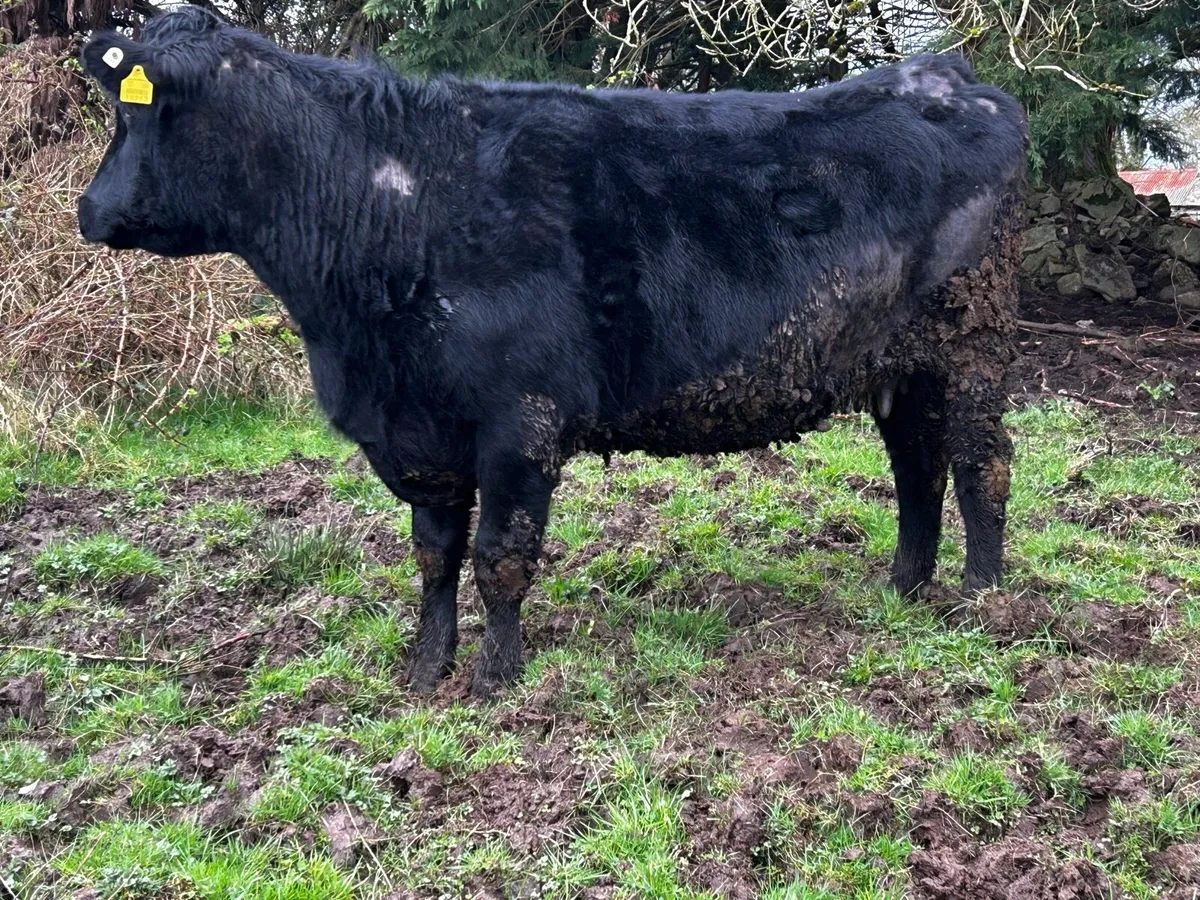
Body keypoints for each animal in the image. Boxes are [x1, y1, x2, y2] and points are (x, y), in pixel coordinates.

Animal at [76, 5, 1029, 698]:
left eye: (137, 114)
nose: (87, 209)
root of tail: (953, 78)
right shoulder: (420, 430)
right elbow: (433, 556)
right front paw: (425, 673)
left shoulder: (518, 418)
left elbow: (500, 556)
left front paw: (497, 679)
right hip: (895, 363)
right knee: (916, 466)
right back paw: (903, 588)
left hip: (974, 347)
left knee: (980, 461)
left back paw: (984, 602)